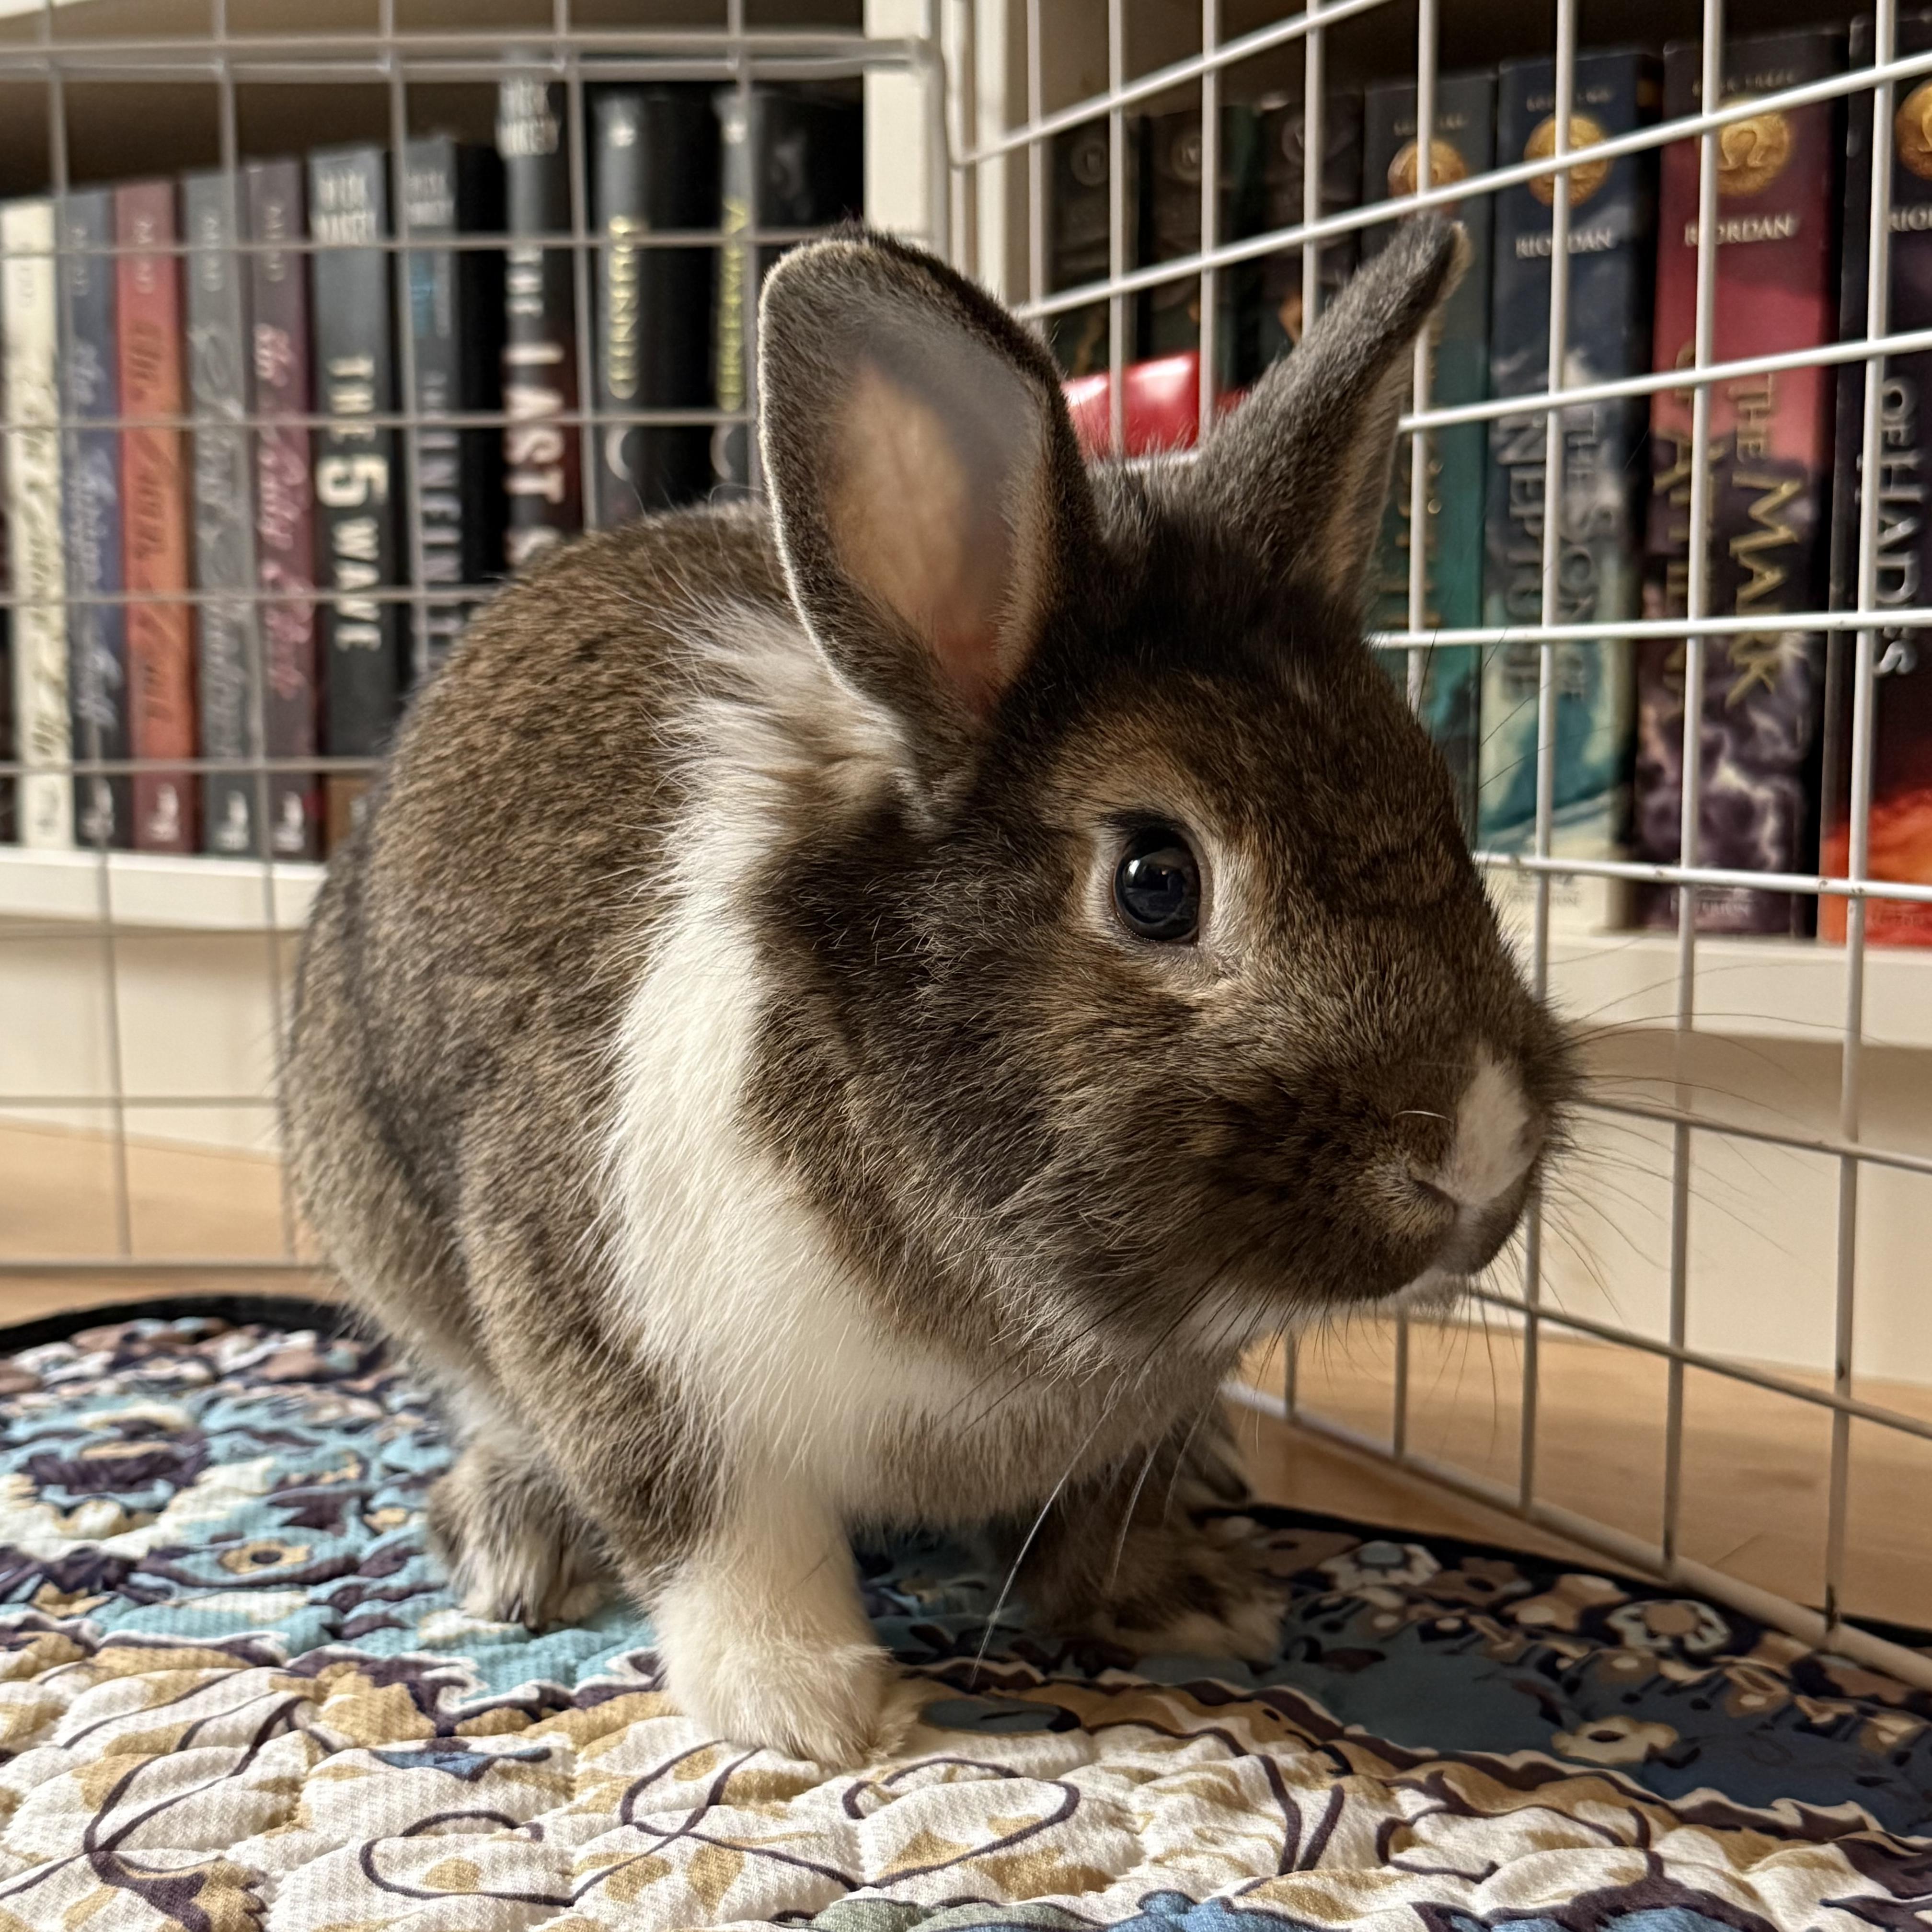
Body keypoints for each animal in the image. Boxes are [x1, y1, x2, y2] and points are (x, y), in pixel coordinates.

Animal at [284, 212, 1575, 1767]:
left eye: (1442, 806)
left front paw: (1186, 1607)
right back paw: (517, 1538)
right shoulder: (607, 1306)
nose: (1480, 1157)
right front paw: (807, 1707)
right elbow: (718, 1528)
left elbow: (1107, 1508)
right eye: (1157, 880)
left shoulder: (1126, 1417)